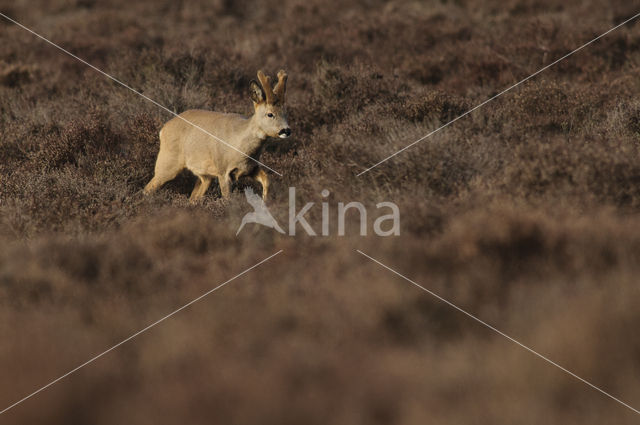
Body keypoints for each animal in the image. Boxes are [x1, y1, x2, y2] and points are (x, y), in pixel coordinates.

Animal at [144, 68, 290, 201]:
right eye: (270, 114)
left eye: (285, 112)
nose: (286, 130)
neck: (240, 146)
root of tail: (163, 129)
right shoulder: (223, 170)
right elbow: (228, 199)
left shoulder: (251, 168)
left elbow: (267, 180)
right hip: (167, 162)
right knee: (148, 188)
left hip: (204, 176)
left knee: (193, 197)